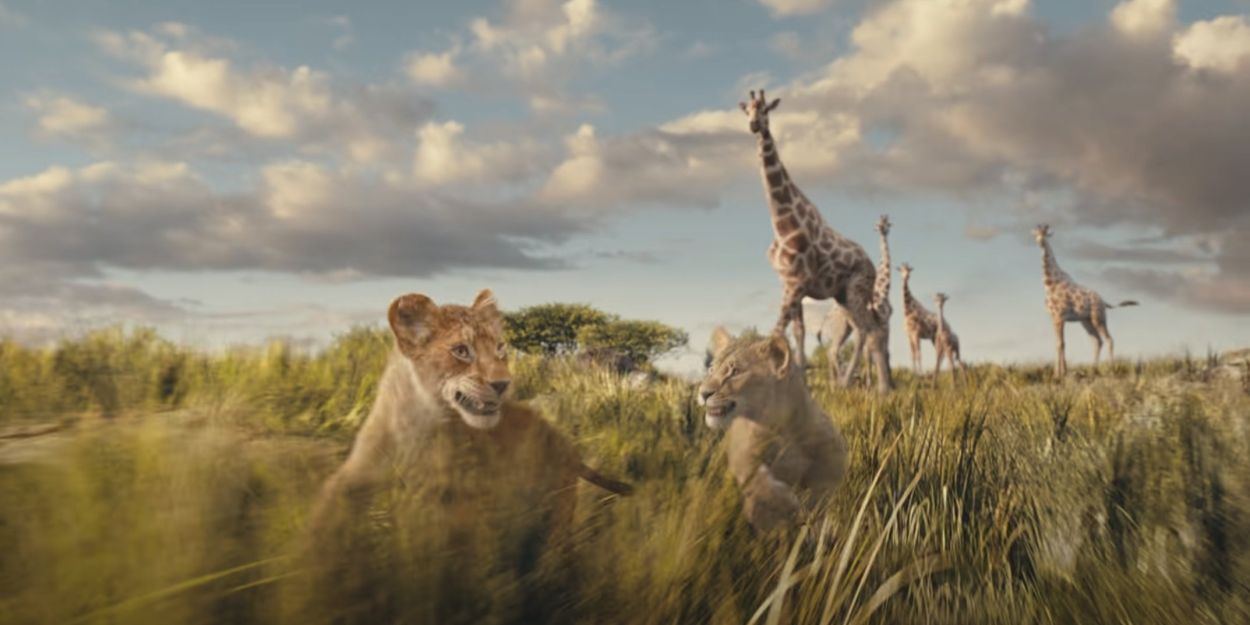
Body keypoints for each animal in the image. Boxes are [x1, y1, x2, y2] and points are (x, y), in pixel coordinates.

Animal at [309, 288, 632, 549]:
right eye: (461, 351)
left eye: (500, 348)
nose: (503, 384)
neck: (417, 424)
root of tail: (568, 446)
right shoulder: (355, 475)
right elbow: (328, 509)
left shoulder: (460, 506)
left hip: (555, 511)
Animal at [698, 328, 848, 532]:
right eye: (711, 370)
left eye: (735, 372)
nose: (703, 393)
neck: (782, 428)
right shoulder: (742, 456)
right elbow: (759, 482)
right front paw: (785, 501)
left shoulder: (833, 458)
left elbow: (822, 490)